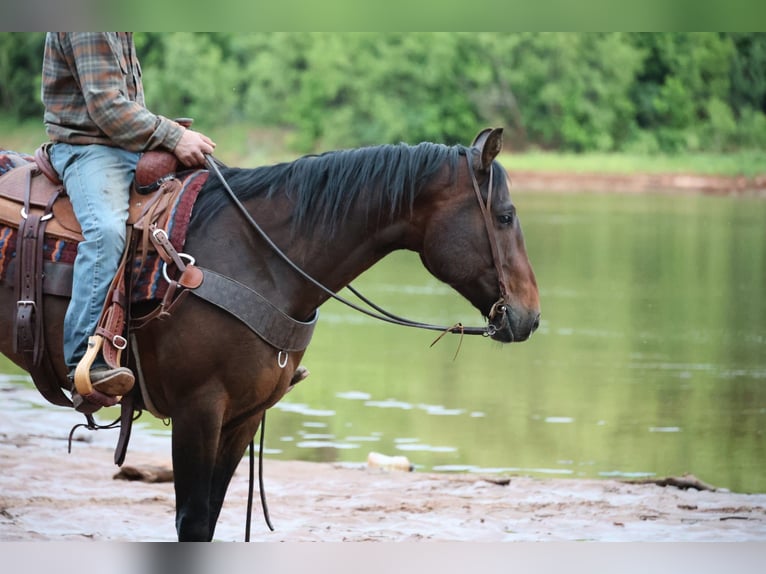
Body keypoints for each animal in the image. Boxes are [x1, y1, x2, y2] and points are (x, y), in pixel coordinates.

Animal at [0, 127, 540, 541]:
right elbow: (192, 522)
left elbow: (210, 517)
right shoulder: (198, 410)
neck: (260, 258)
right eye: (505, 216)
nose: (531, 317)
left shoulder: (243, 417)